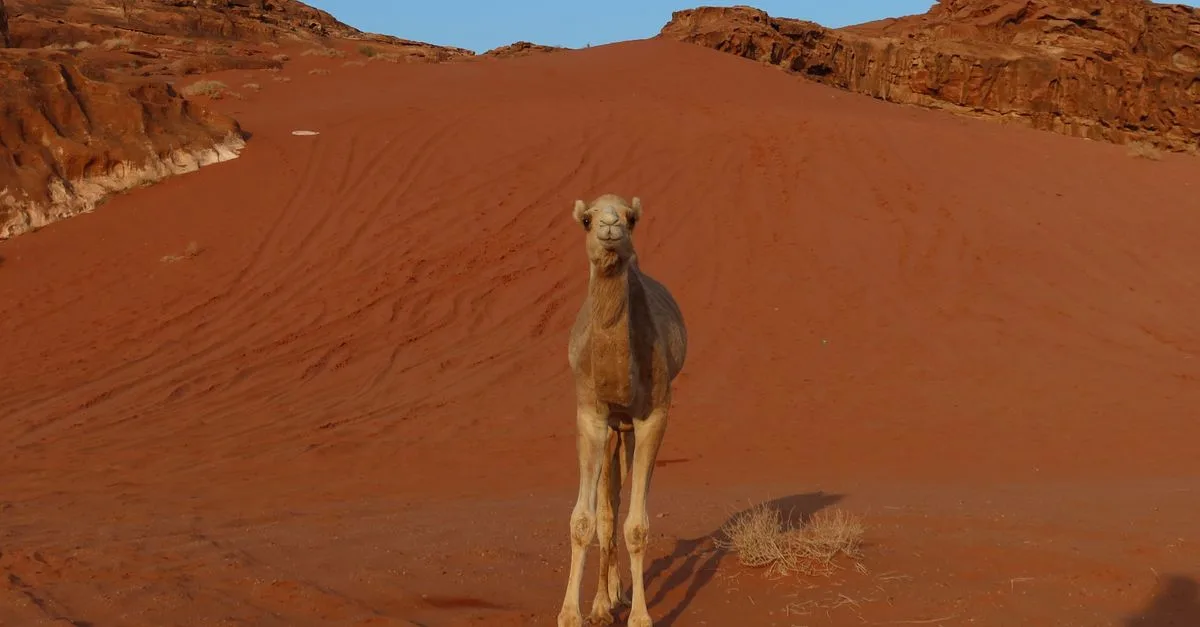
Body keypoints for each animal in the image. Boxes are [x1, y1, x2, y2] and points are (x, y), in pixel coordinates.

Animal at [557, 194, 687, 627]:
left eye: (631, 219)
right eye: (586, 219)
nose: (610, 225)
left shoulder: (652, 417)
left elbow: (637, 526)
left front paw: (641, 616)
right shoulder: (591, 417)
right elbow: (585, 520)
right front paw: (572, 614)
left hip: (627, 428)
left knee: (617, 497)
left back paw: (613, 596)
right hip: (613, 428)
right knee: (607, 505)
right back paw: (603, 601)